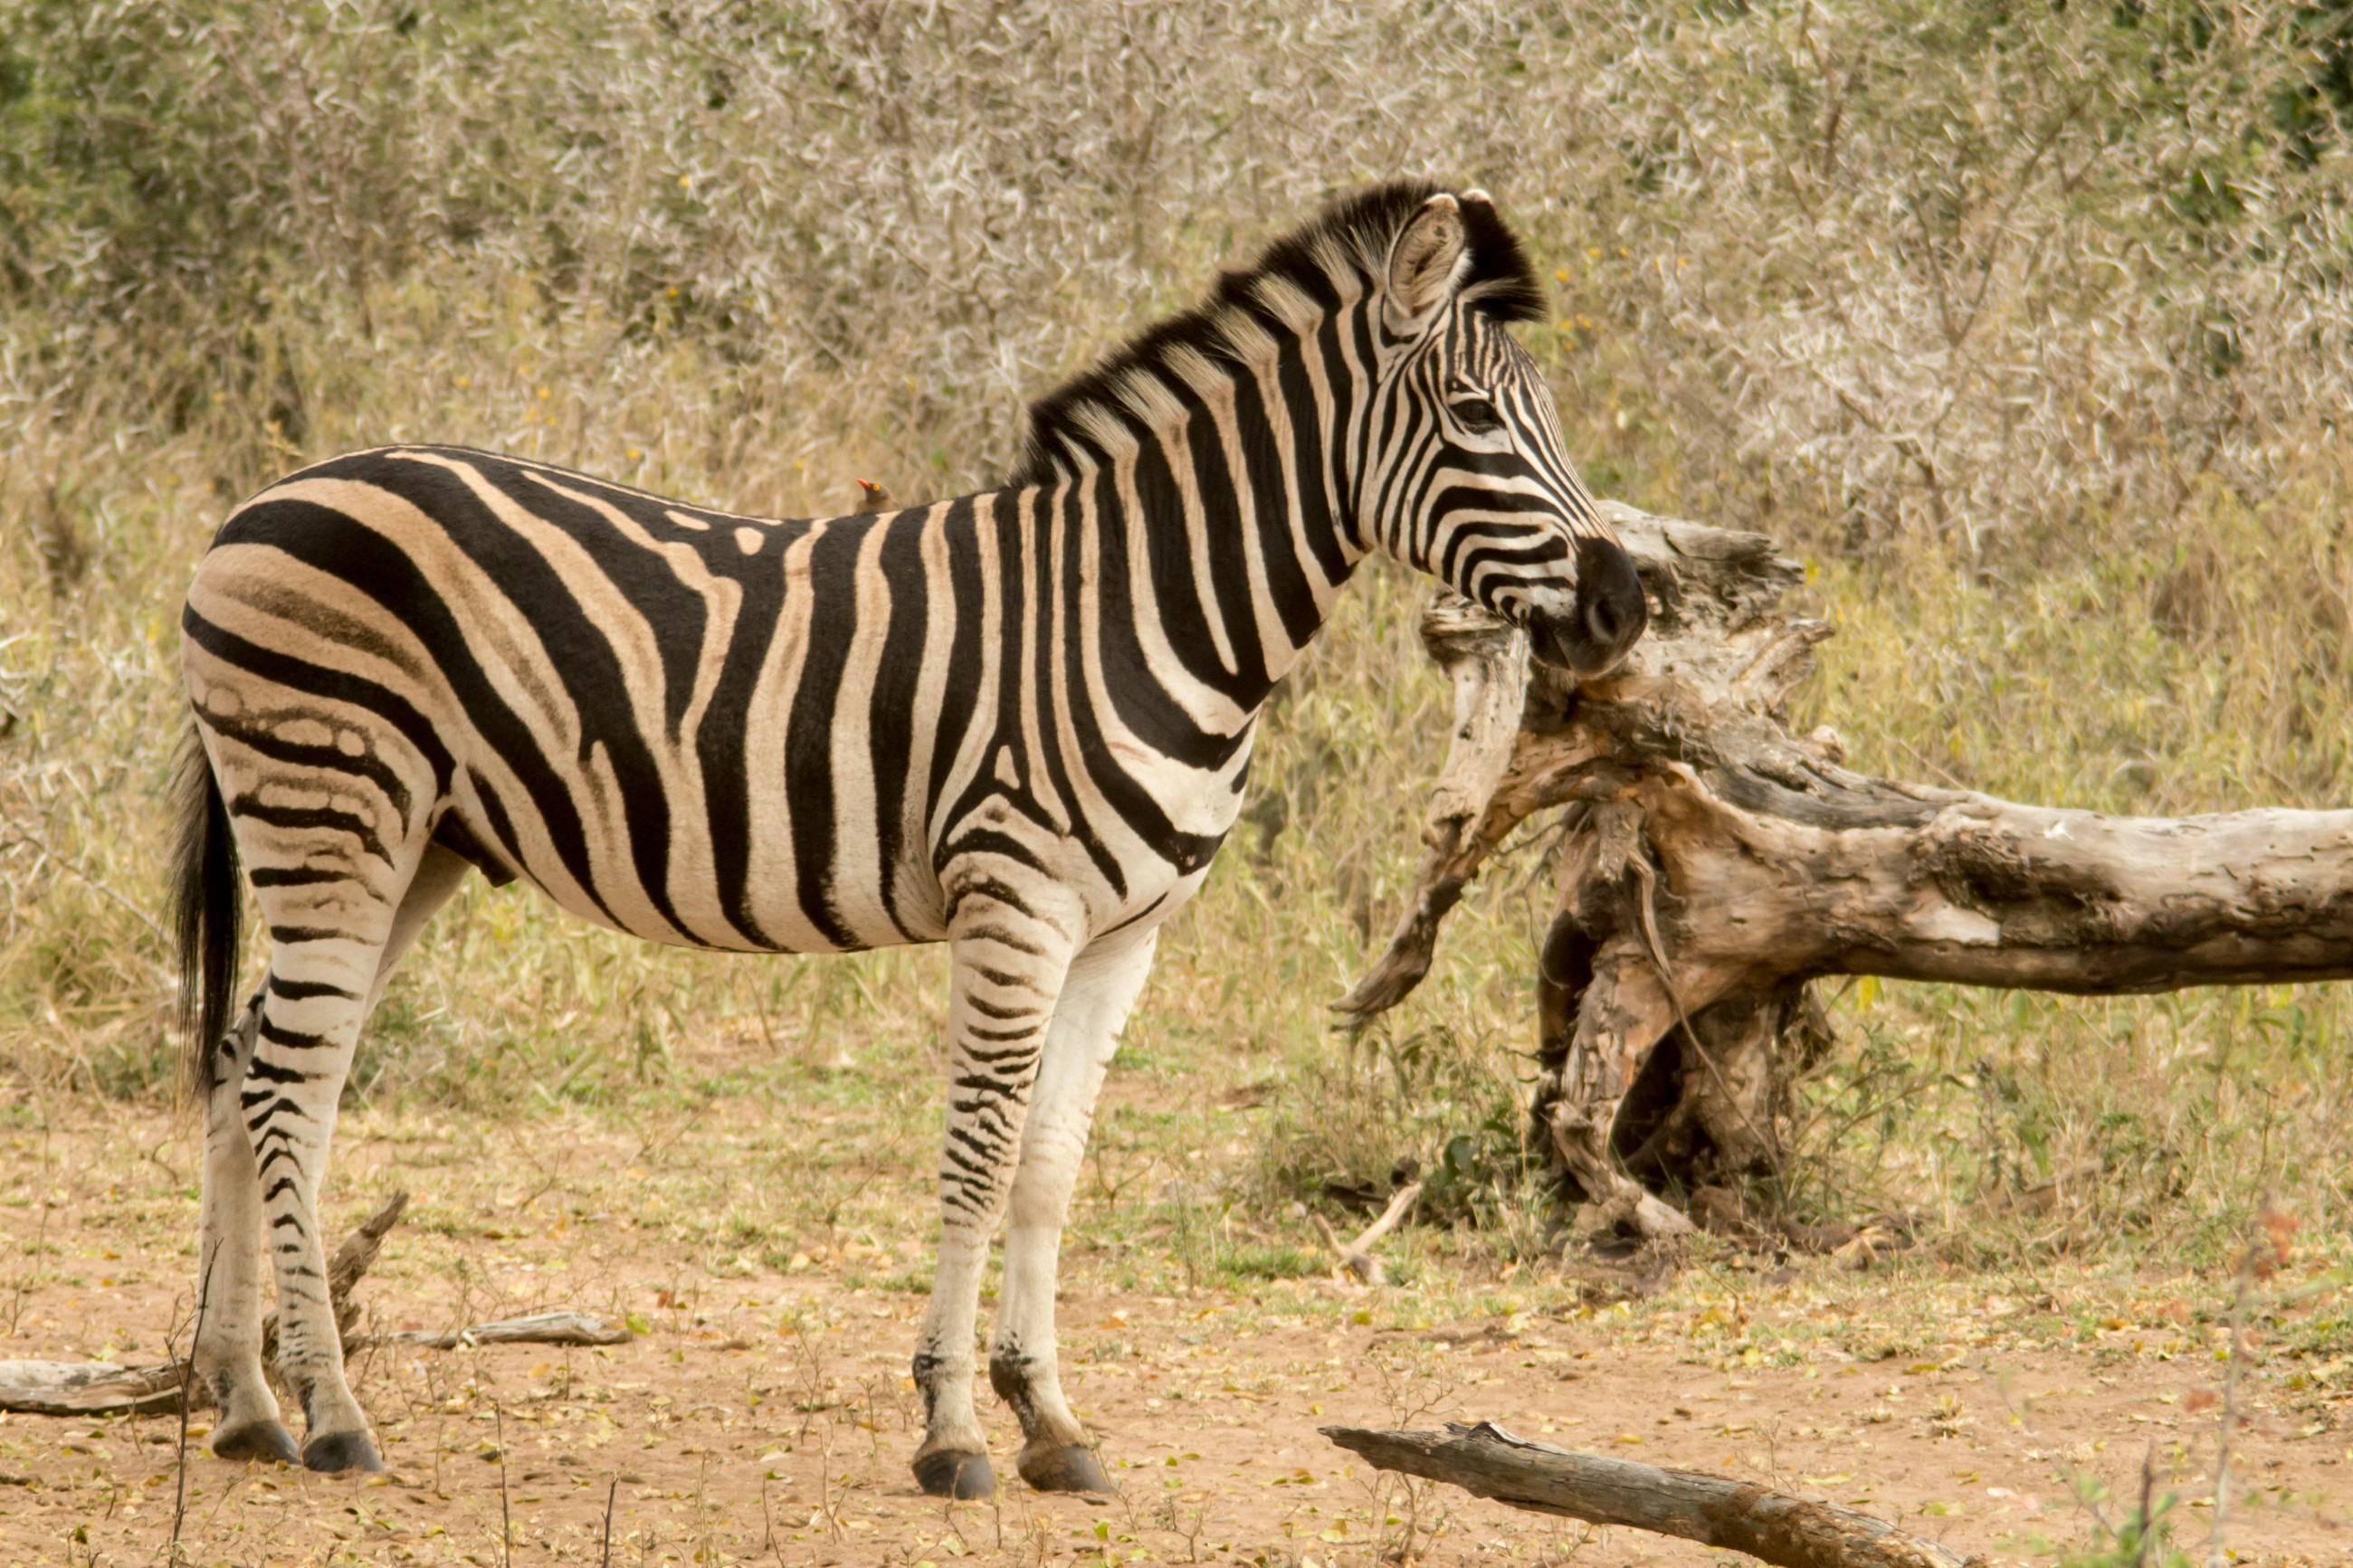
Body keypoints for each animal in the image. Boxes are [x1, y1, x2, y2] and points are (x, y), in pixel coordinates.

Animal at [168, 180, 1648, 1495]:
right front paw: (952, 1432)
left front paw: (1051, 1420)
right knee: (291, 1080)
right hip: (335, 810)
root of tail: (265, 497)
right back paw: (334, 1414)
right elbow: (981, 1154)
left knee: (245, 1060)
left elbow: (1052, 1168)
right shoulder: (1016, 902)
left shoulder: (1124, 934)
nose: (1628, 605)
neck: (1143, 612)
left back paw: (245, 1405)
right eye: (1473, 415)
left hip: (410, 841)